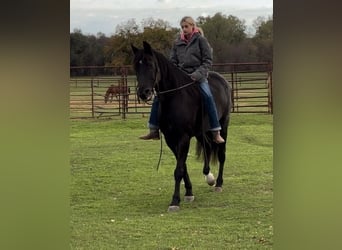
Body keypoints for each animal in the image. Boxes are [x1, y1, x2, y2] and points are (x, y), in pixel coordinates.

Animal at [131, 41, 232, 213]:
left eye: (150, 64)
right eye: (136, 66)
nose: (144, 93)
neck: (175, 98)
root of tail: (222, 80)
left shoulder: (183, 138)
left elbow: (178, 170)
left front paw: (175, 201)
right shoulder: (171, 139)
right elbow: (182, 166)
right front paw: (189, 192)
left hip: (223, 126)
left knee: (221, 154)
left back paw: (218, 183)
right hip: (201, 133)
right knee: (207, 148)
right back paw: (209, 176)